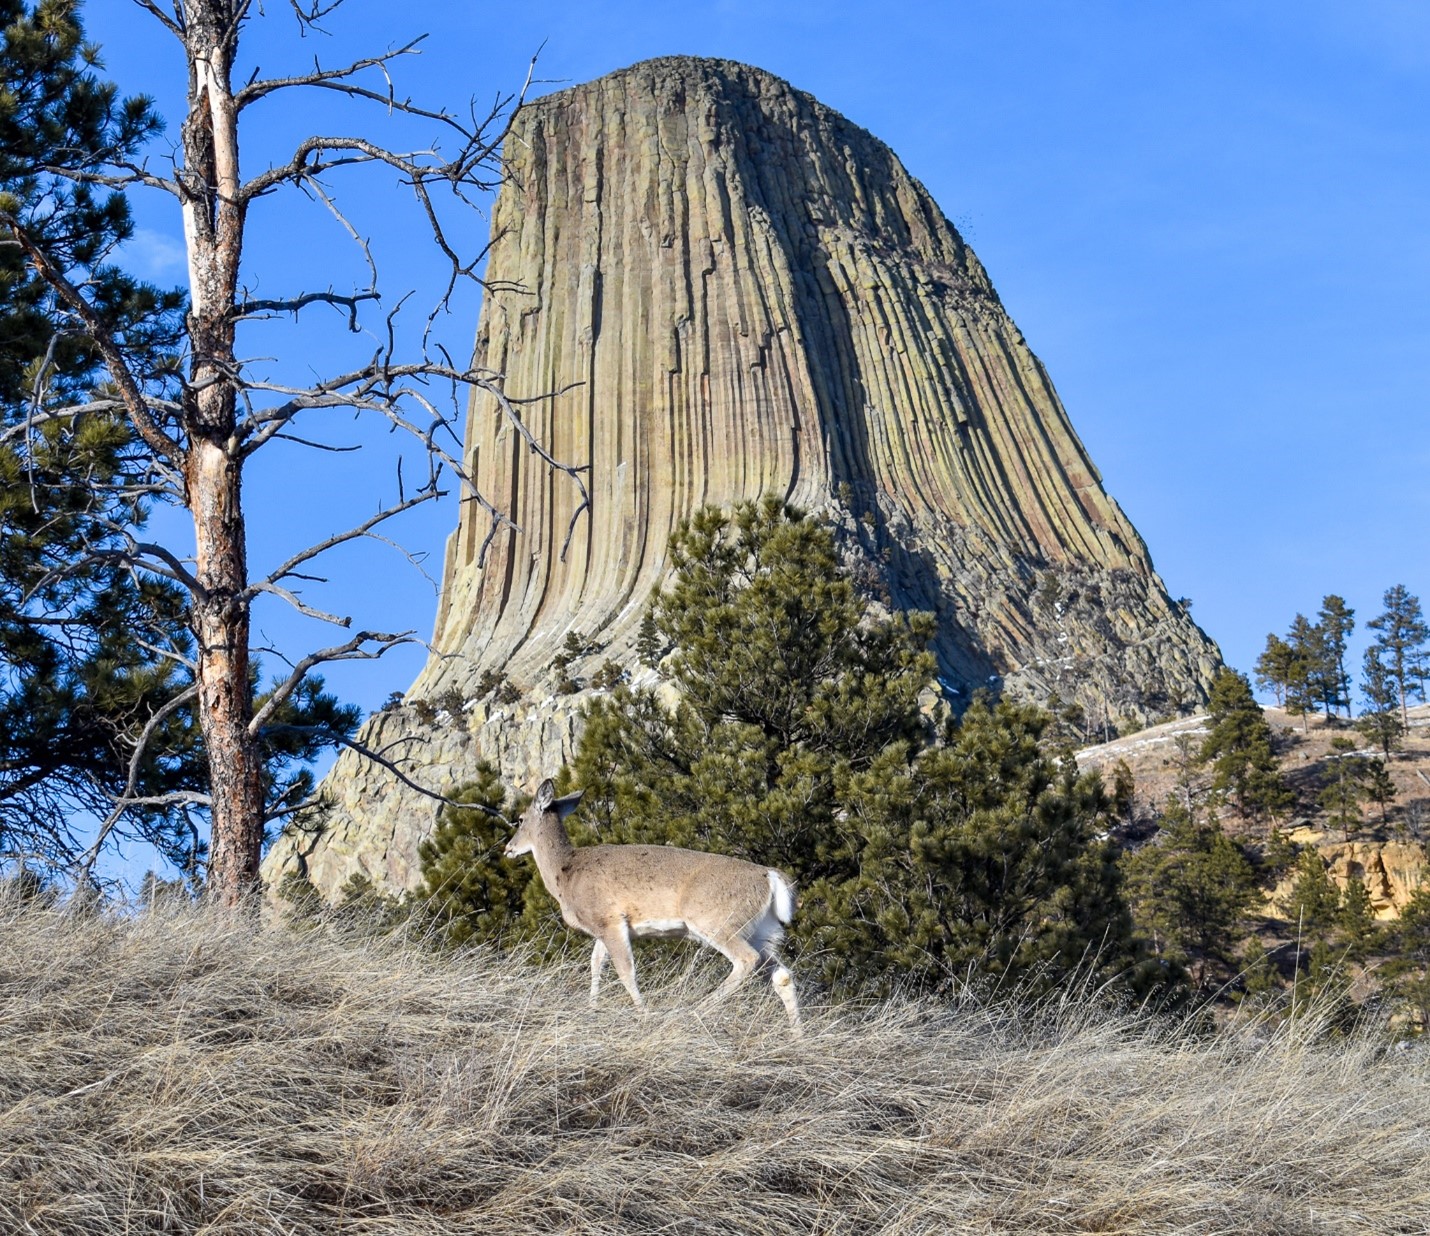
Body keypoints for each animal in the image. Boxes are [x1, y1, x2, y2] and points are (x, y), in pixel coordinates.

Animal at [504, 779, 800, 1025]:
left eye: (519, 819)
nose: (508, 849)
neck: (565, 872)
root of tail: (770, 876)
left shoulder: (610, 920)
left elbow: (626, 972)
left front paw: (644, 1014)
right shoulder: (602, 928)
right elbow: (596, 964)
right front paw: (592, 1008)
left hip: (717, 921)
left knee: (746, 960)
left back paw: (696, 1011)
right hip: (763, 930)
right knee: (782, 974)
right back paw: (796, 1034)